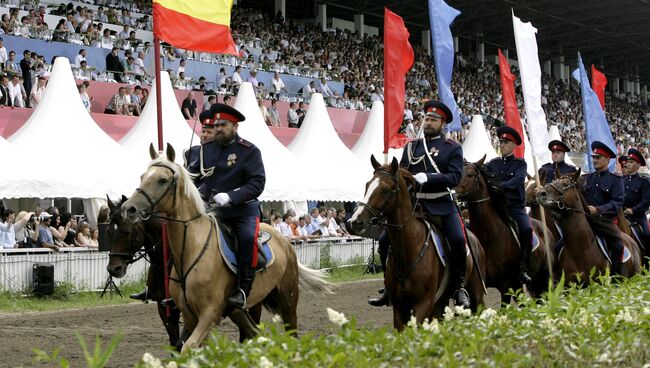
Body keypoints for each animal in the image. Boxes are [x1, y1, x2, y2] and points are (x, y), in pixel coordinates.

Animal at [121, 143, 332, 350]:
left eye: (162, 180)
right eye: (142, 176)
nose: (128, 208)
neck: (191, 249)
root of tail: (284, 241)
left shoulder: (210, 313)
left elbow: (188, 346)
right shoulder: (190, 316)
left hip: (287, 299)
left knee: (292, 335)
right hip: (237, 311)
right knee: (255, 334)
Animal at [346, 156, 484, 330]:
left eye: (385, 190)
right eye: (367, 185)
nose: (355, 222)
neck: (408, 250)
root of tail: (474, 238)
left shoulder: (423, 304)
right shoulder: (399, 308)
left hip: (476, 295)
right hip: (440, 303)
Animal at [454, 157, 556, 304]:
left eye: (469, 175)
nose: (452, 193)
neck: (488, 235)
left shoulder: (505, 287)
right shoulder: (479, 289)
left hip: (543, 277)